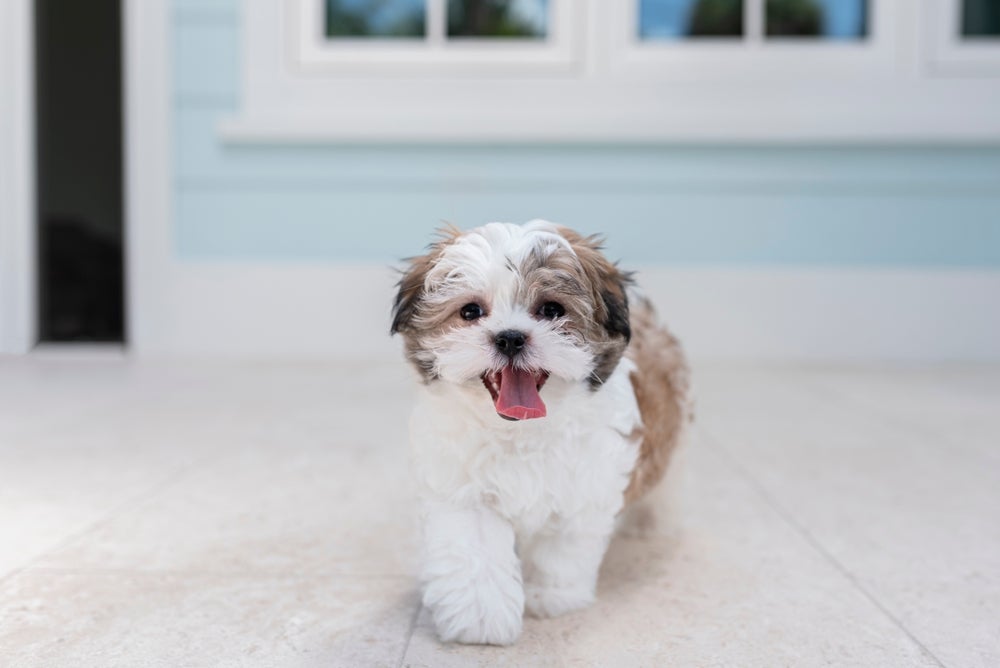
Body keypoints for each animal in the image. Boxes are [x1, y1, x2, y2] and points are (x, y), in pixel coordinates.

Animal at [394, 223, 692, 648]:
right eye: (470, 311)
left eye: (551, 310)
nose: (510, 337)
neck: (519, 431)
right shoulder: (463, 491)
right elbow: (476, 551)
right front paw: (481, 618)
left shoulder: (584, 487)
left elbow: (561, 548)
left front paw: (549, 595)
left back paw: (651, 521)